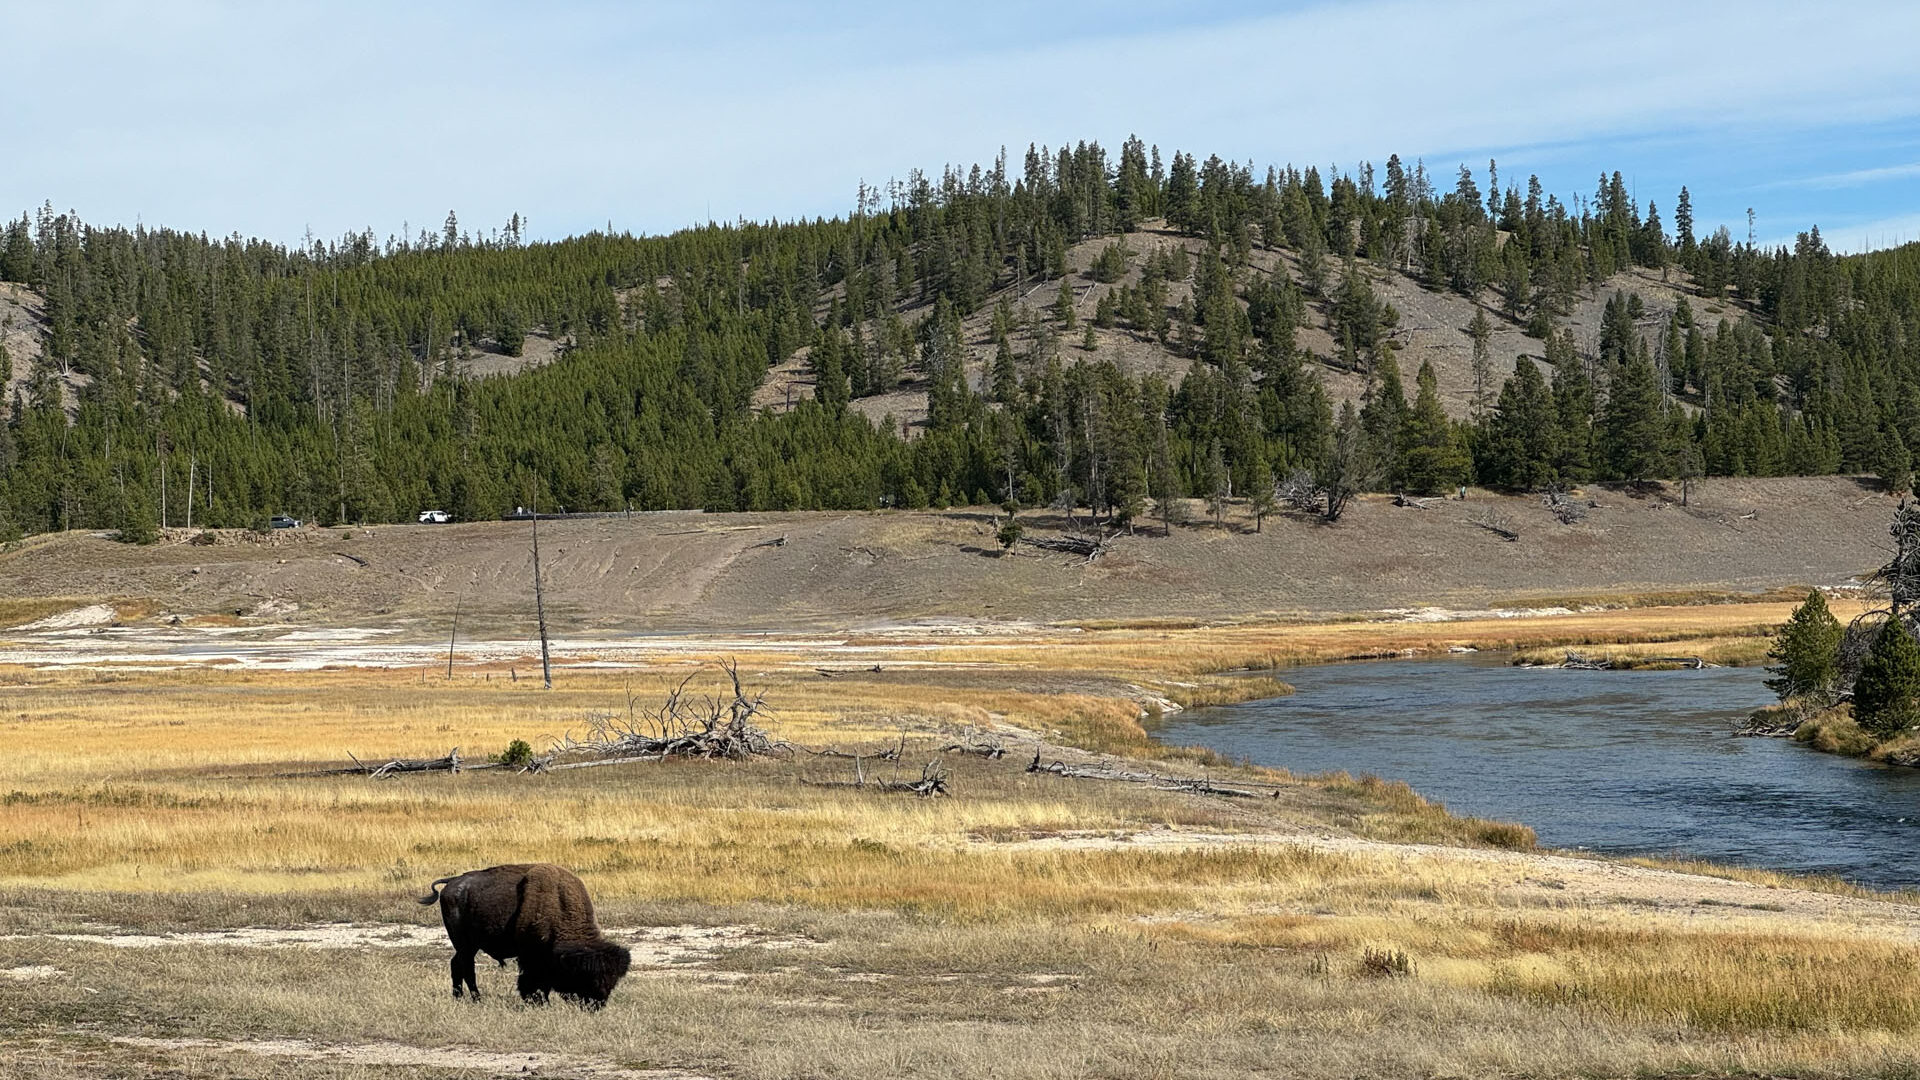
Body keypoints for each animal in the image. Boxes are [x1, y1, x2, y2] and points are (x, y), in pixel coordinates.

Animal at [418, 860, 629, 1006]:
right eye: (584, 976)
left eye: (612, 980)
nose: (597, 1003)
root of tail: (452, 882)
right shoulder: (531, 956)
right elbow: (532, 980)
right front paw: (539, 1002)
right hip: (465, 944)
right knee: (466, 967)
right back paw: (476, 998)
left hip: (469, 945)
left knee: (457, 964)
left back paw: (460, 997)